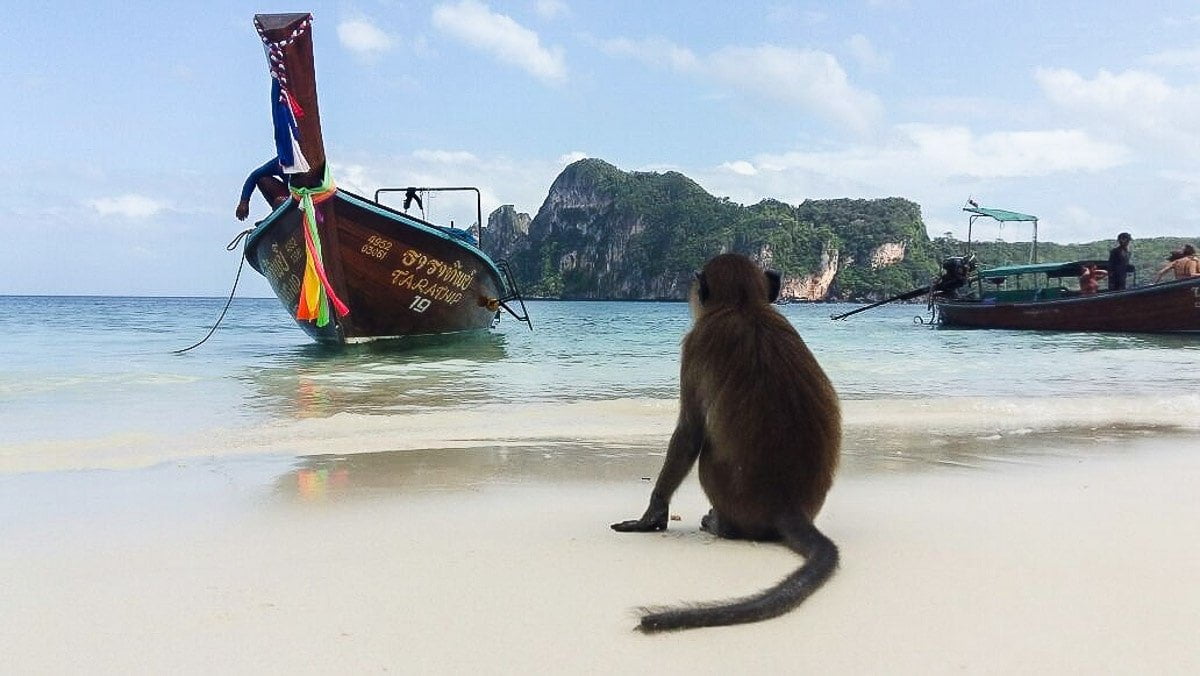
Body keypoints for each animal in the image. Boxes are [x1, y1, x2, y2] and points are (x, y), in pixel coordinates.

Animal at [614, 250, 840, 633]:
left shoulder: (693, 345)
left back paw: (721, 525)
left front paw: (652, 516)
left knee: (705, 452)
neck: (744, 305)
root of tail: (789, 505)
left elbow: (689, 432)